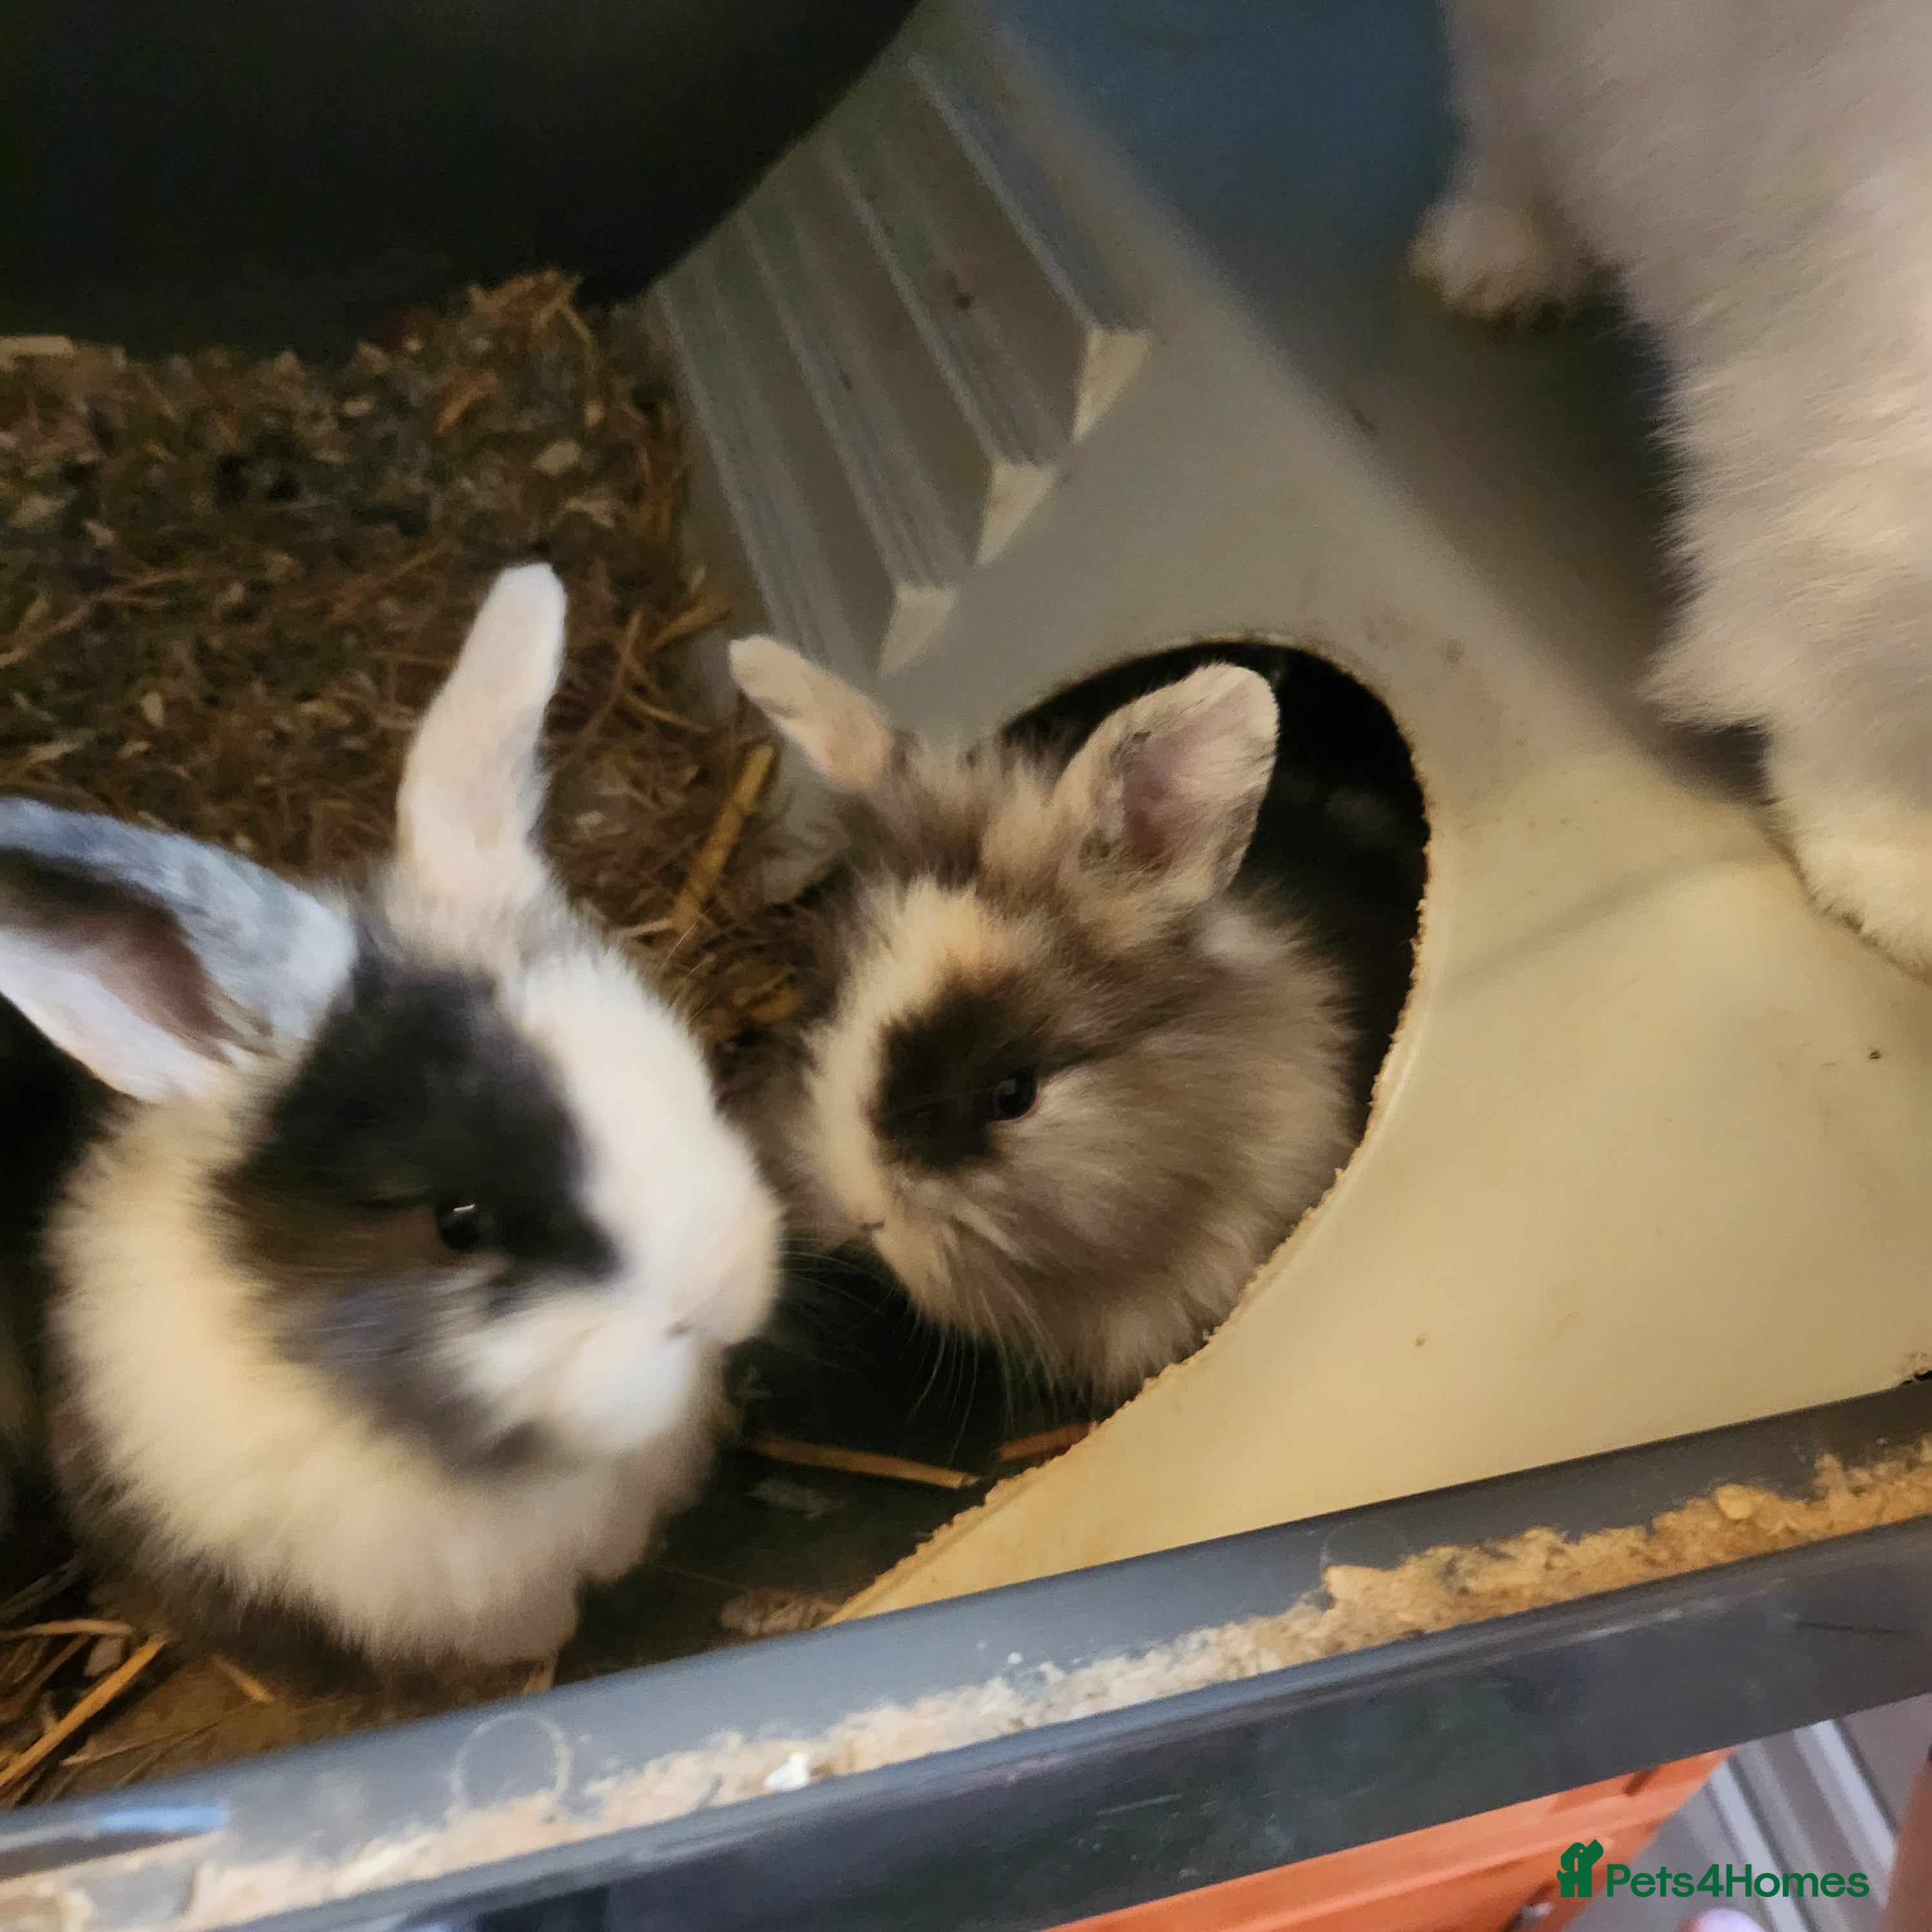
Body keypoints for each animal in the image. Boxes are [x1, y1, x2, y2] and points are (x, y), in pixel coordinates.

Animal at [1410, 0, 1932, 976]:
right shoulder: (1845, 510)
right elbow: (1860, 729)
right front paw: (1904, 888)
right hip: (1511, 50)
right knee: (1502, 125)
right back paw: (1502, 266)